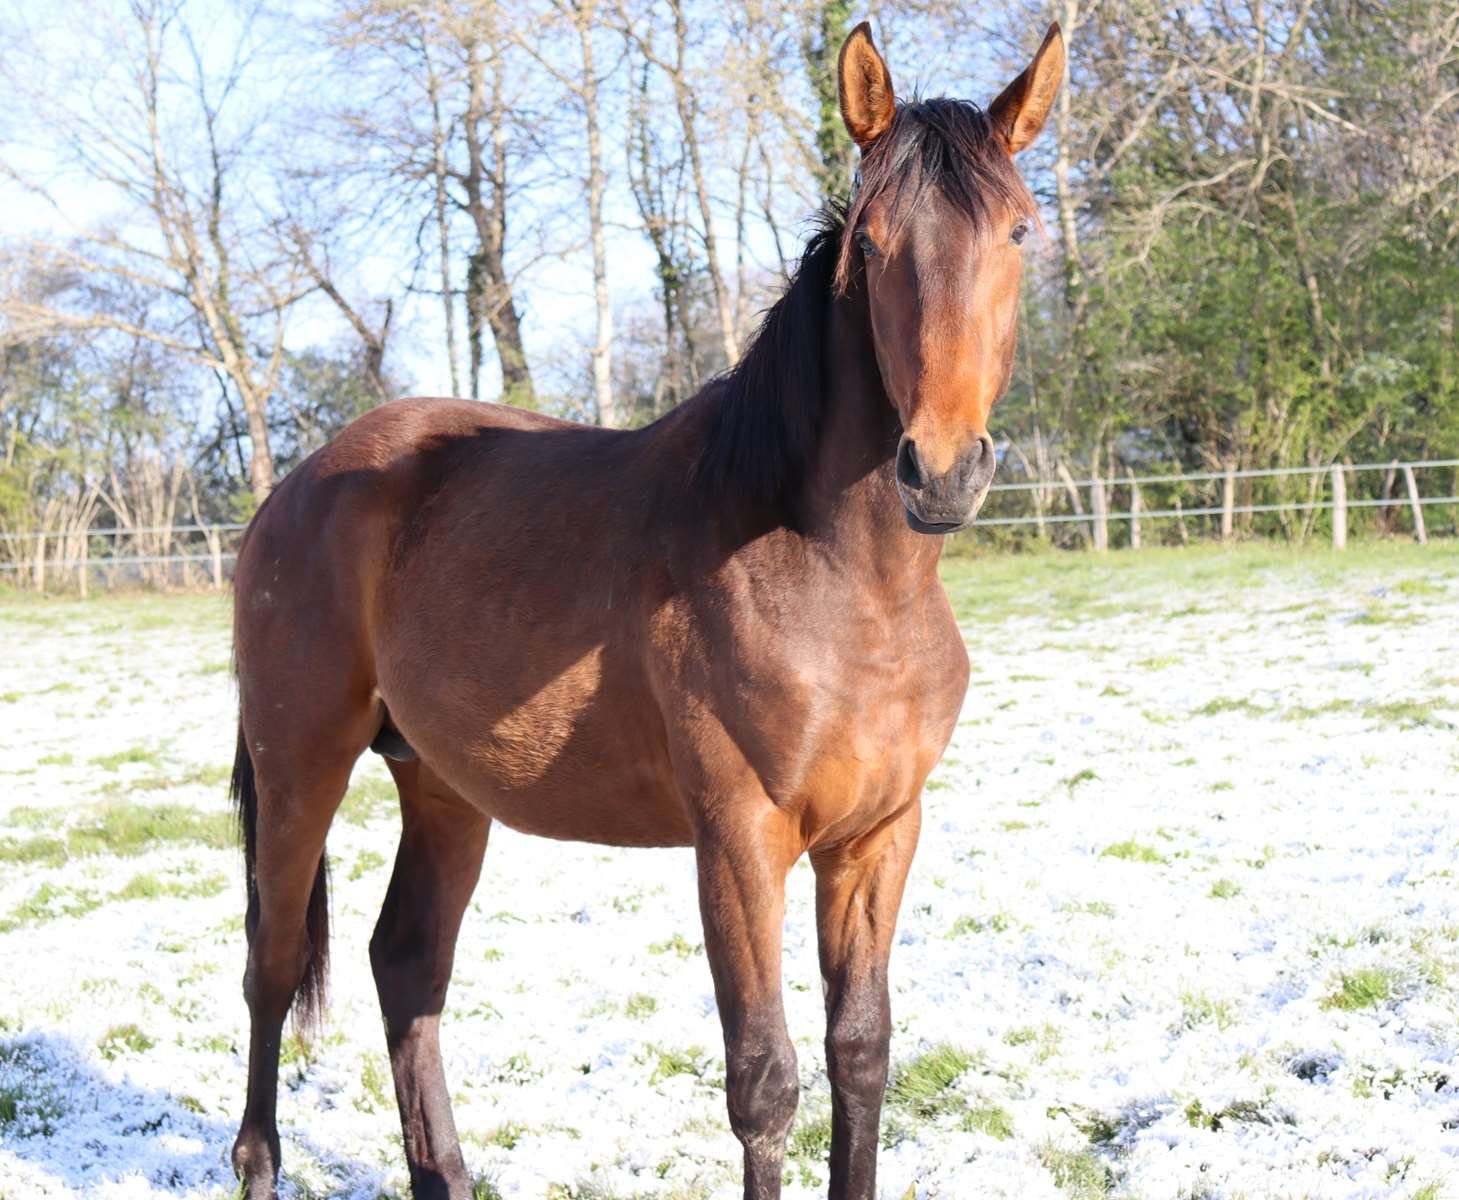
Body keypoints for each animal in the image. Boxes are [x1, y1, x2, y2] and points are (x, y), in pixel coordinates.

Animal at [227, 20, 1064, 1200]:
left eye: (1020, 231)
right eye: (871, 243)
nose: (940, 469)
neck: (840, 583)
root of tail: (298, 487)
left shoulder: (877, 838)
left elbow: (861, 1055)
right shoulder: (739, 842)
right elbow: (765, 1081)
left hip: (442, 787)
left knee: (408, 964)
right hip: (301, 762)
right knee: (271, 965)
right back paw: (259, 1163)